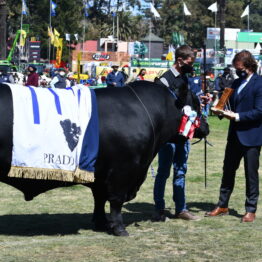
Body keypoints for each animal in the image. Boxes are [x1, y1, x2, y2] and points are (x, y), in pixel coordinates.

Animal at [0, 81, 209, 235]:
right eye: (197, 104)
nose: (206, 127)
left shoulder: (100, 174)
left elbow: (99, 198)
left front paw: (101, 223)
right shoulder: (123, 170)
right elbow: (116, 201)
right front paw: (119, 228)